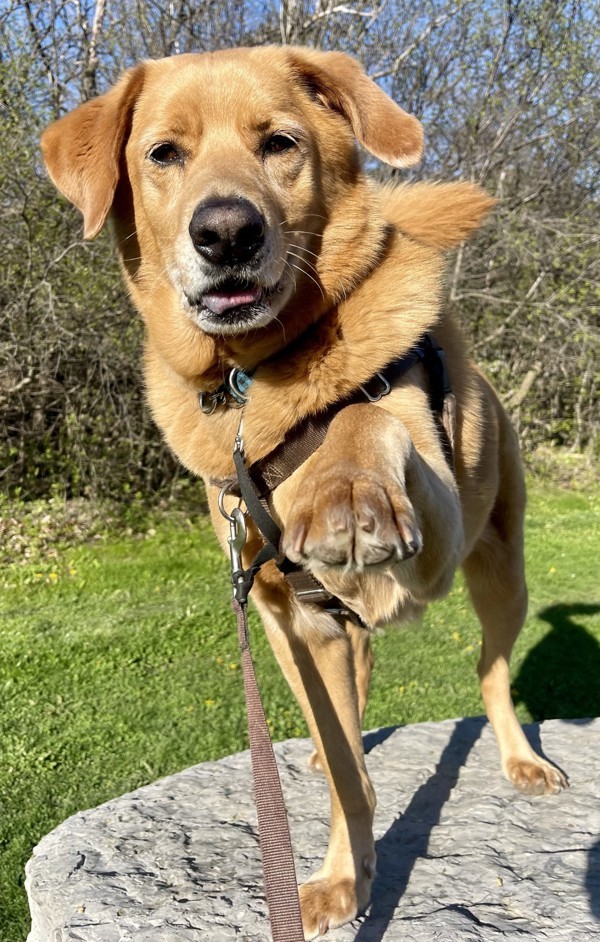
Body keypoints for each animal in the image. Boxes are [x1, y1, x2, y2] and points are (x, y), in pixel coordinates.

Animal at [42, 46, 568, 942]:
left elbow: (364, 410)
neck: (255, 377)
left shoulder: (430, 536)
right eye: (163, 153)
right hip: (306, 635)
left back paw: (520, 758)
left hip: (500, 573)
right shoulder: (291, 619)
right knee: (350, 702)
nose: (225, 232)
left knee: (490, 670)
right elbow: (349, 775)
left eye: (279, 143)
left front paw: (346, 488)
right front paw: (344, 878)